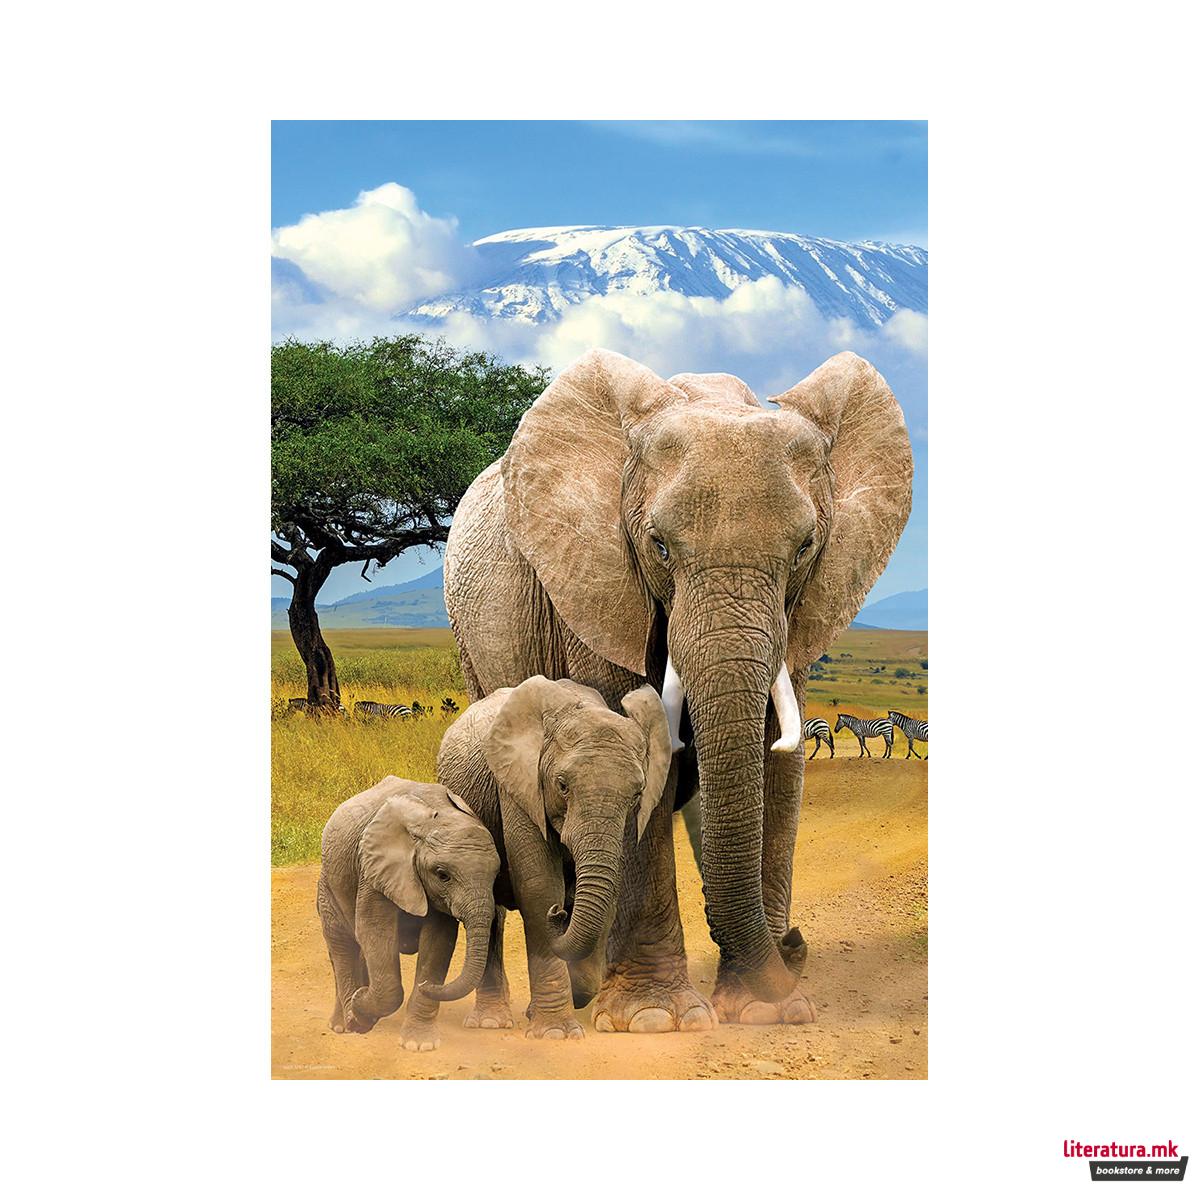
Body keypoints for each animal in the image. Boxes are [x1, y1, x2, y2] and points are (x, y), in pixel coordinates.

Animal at [317, 776, 500, 1052]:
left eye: (496, 875)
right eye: (442, 875)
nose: (427, 987)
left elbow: (438, 942)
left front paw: (419, 1044)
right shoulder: (374, 870)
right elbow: (374, 930)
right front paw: (359, 1012)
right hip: (327, 884)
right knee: (342, 945)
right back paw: (344, 1023)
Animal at [437, 676, 672, 1038]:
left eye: (637, 793)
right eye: (562, 785)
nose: (559, 914)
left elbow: (610, 892)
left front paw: (558, 1004)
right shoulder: (518, 785)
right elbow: (539, 886)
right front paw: (555, 1033)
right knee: (490, 912)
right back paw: (491, 1022)